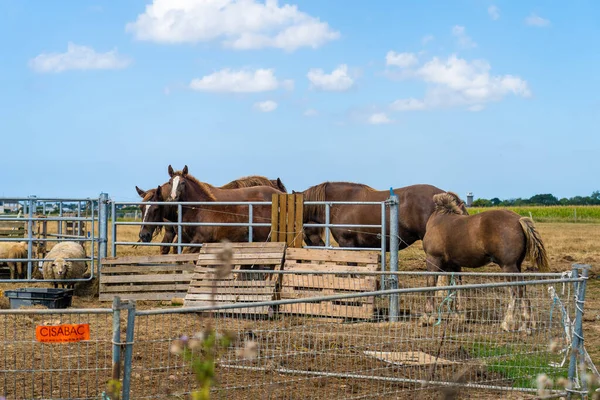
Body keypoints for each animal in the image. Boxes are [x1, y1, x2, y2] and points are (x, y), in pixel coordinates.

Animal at [422, 192, 548, 332]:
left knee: (517, 291)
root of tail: (518, 220)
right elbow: (456, 287)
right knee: (520, 290)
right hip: (516, 266)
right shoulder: (453, 265)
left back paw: (514, 323)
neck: (438, 219)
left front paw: (427, 317)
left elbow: (431, 285)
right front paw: (458, 316)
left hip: (508, 266)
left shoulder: (433, 260)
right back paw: (524, 323)